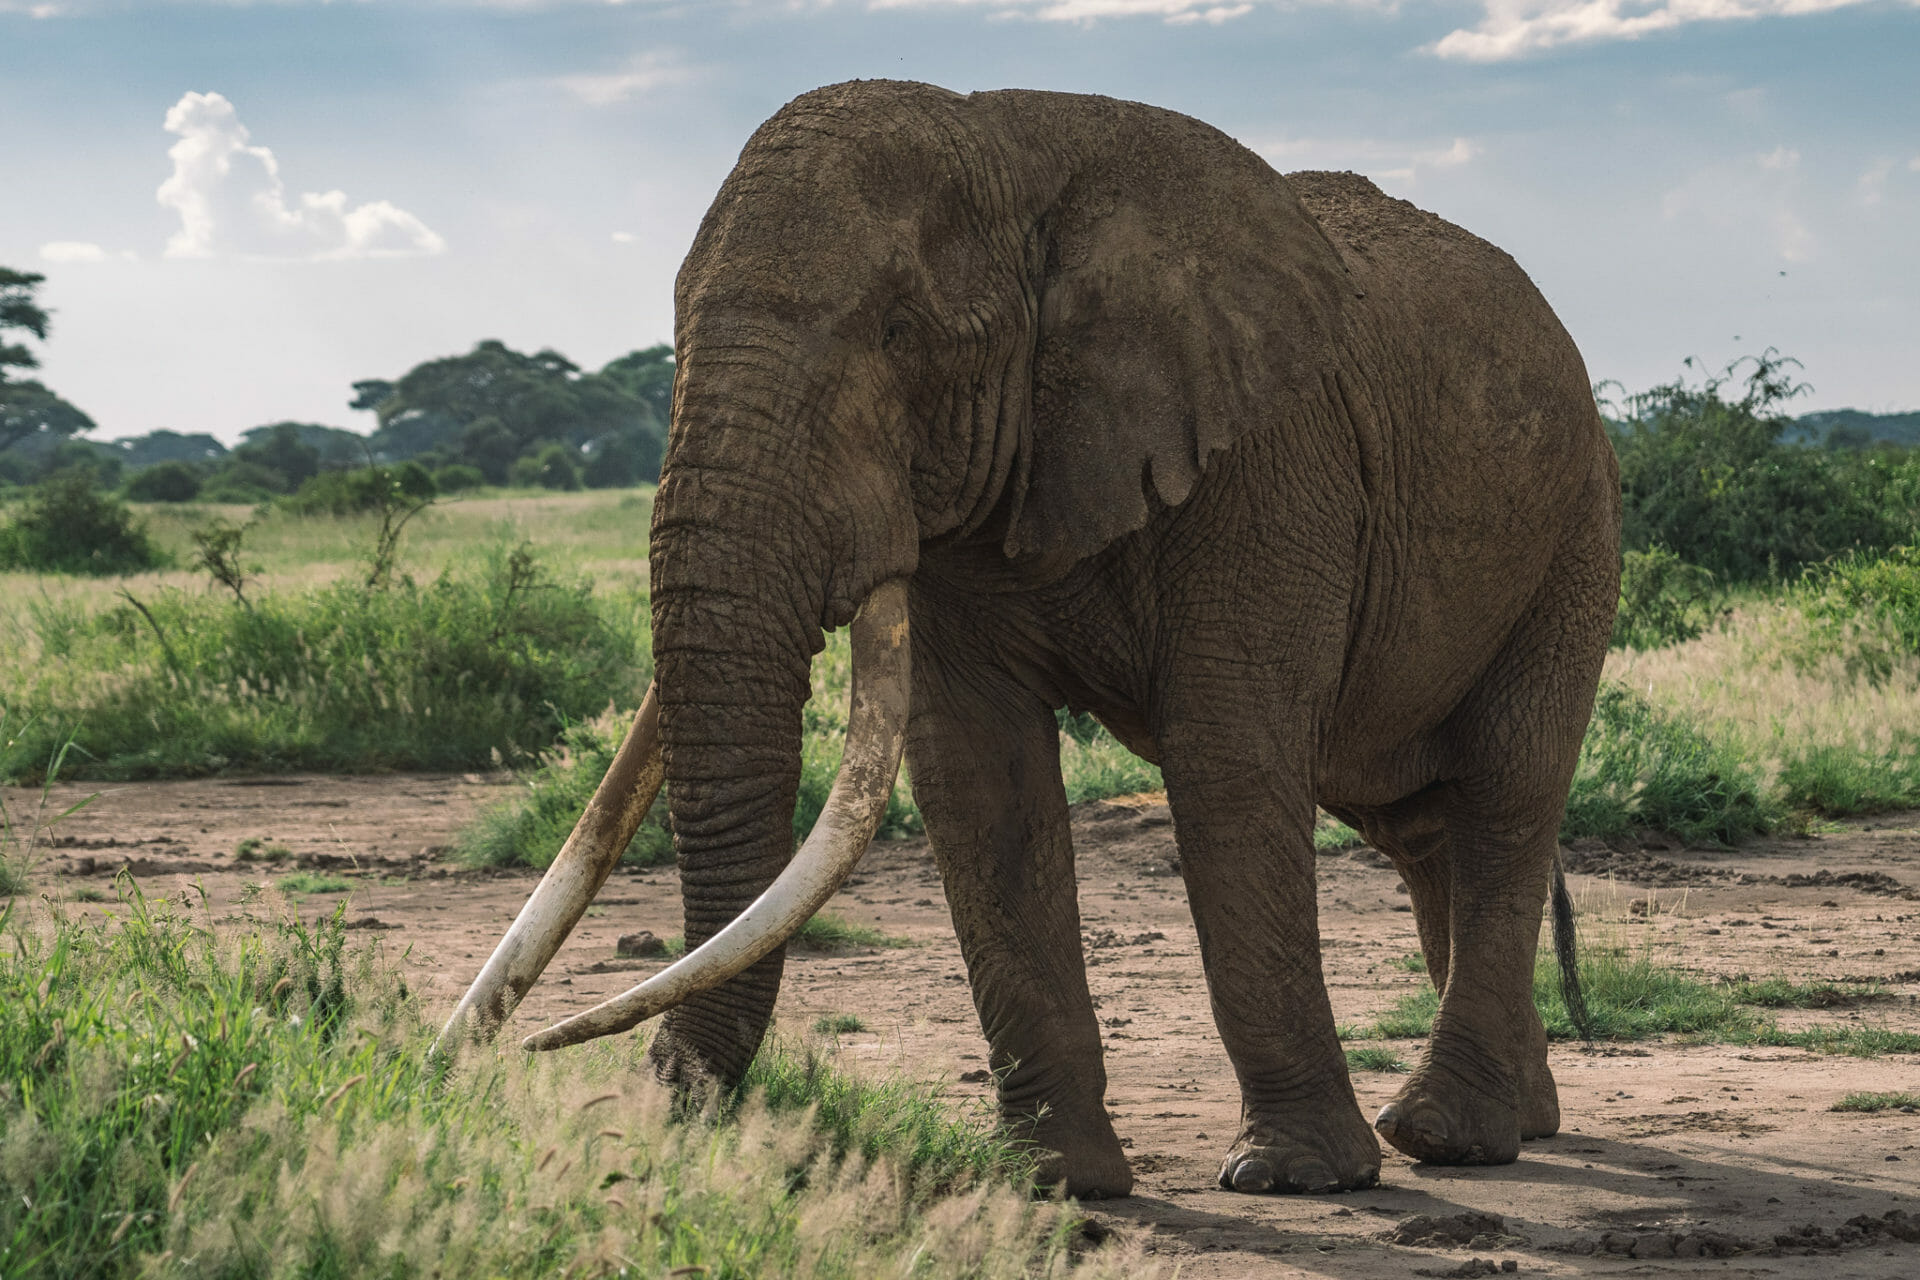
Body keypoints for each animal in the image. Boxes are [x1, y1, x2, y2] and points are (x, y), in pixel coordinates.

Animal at [439, 80, 1621, 1203]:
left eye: (899, 336)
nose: (655, 1099)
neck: (1012, 148)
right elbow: (980, 779)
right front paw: (1050, 1180)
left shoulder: (1270, 460)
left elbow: (1230, 764)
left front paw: (1296, 1177)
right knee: (1416, 821)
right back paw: (1521, 1121)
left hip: (1575, 532)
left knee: (1505, 789)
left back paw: (1447, 1136)